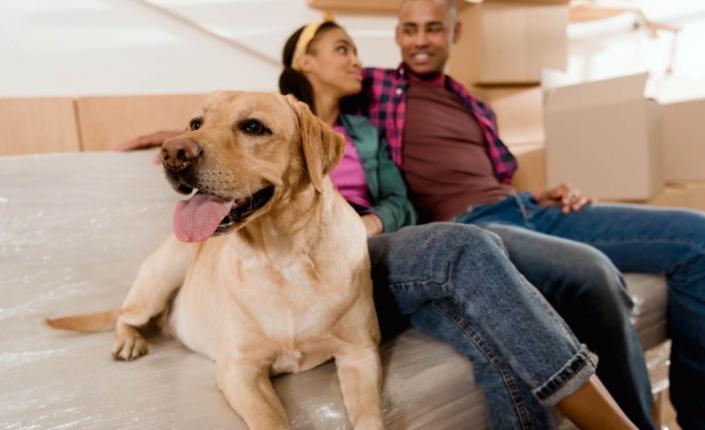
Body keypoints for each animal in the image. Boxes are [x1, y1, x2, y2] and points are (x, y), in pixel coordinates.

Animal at [48, 90, 382, 430]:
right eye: (196, 123)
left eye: (253, 126)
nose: (173, 152)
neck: (282, 259)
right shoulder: (239, 370)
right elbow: (271, 421)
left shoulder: (361, 353)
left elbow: (370, 418)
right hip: (163, 274)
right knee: (124, 317)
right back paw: (129, 340)